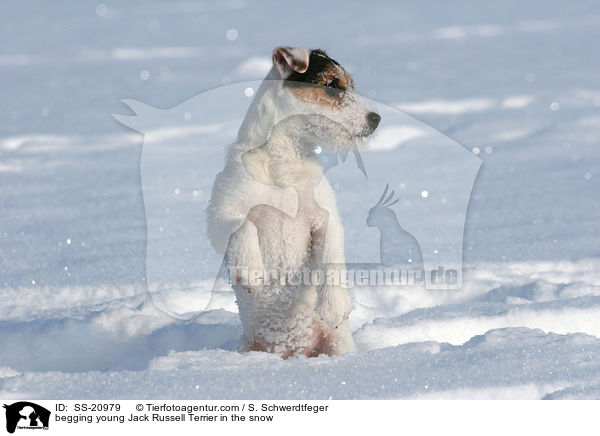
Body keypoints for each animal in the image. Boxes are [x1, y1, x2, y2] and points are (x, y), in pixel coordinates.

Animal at [206, 46, 382, 358]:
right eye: (331, 84)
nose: (376, 119)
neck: (282, 163)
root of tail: (292, 352)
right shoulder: (220, 215)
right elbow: (242, 226)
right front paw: (250, 271)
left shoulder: (325, 218)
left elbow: (332, 256)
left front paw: (334, 305)